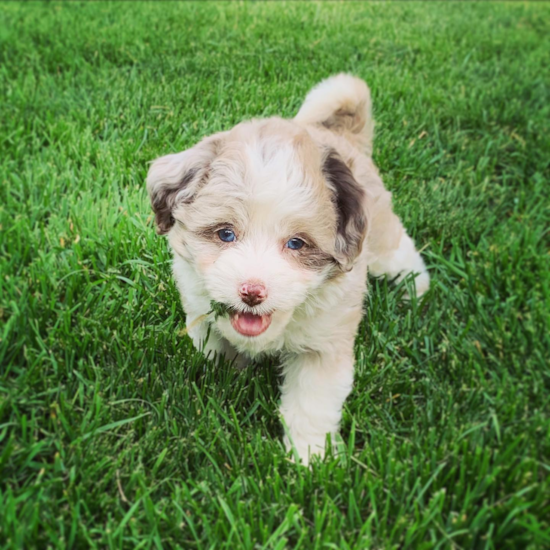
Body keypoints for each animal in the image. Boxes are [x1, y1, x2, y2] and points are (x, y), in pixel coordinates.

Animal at [147, 75, 432, 464]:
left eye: (297, 243)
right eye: (226, 234)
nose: (252, 292)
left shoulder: (324, 347)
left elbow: (311, 404)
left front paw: (311, 459)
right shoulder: (200, 309)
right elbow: (215, 349)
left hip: (381, 233)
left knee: (398, 250)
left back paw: (416, 286)